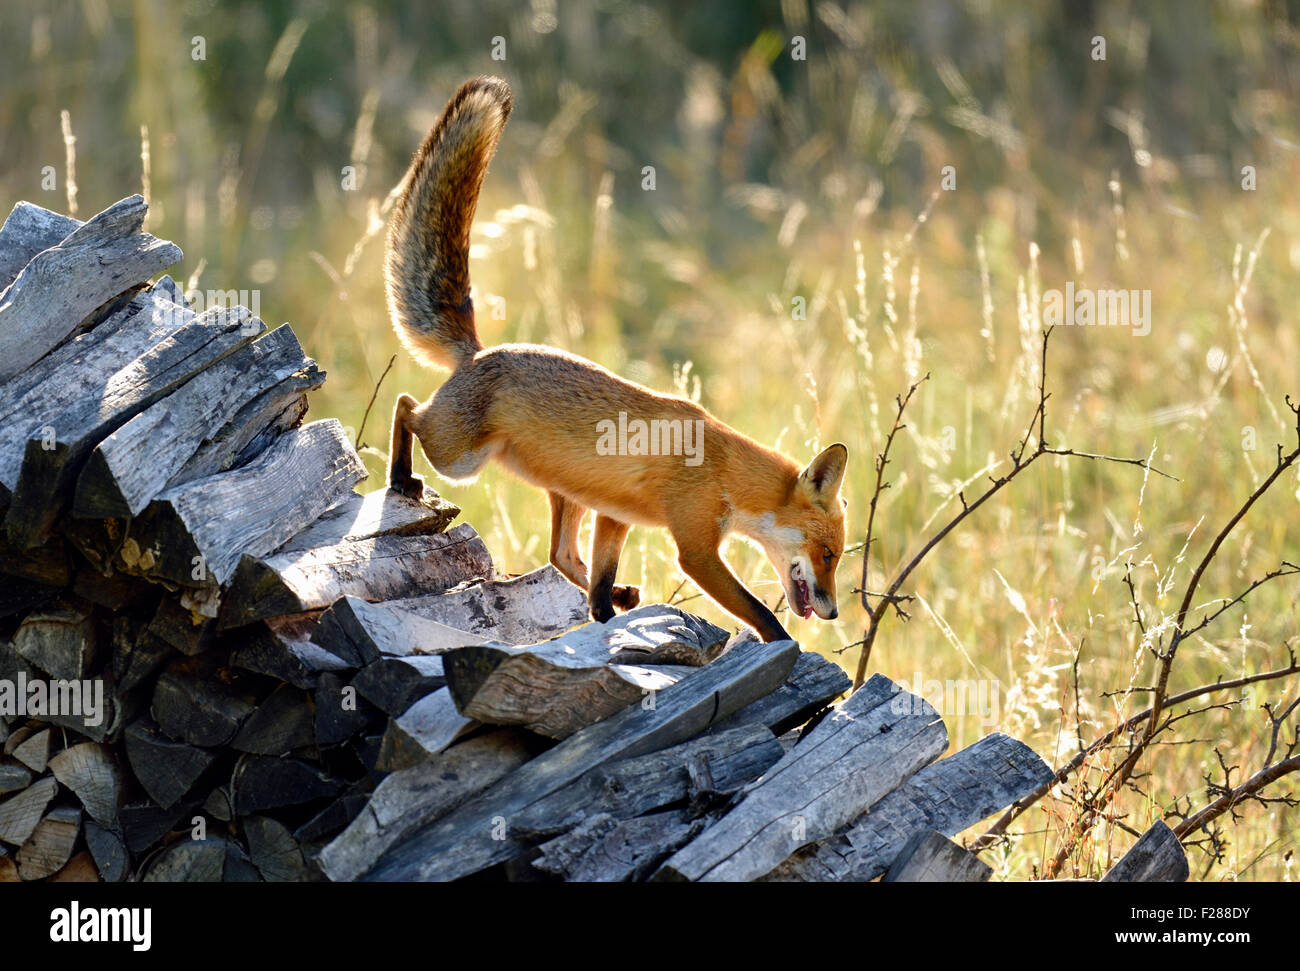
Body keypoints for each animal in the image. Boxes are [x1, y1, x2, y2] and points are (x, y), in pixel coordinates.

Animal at [383, 76, 848, 643]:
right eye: (827, 554)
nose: (833, 612)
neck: (724, 472)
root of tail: (480, 351)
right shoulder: (695, 547)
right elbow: (758, 611)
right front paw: (785, 647)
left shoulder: (616, 516)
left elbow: (600, 582)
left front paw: (608, 614)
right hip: (459, 459)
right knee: (406, 406)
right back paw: (400, 477)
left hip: (569, 494)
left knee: (561, 556)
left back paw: (619, 598)